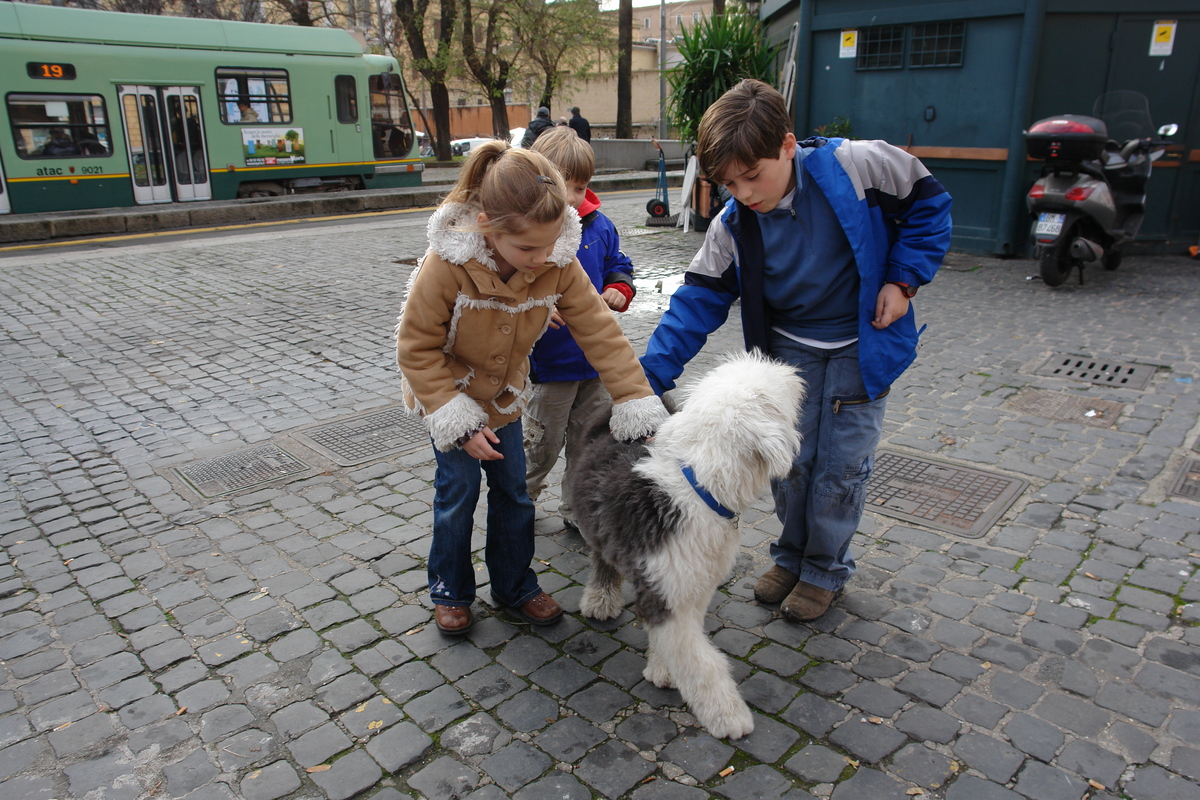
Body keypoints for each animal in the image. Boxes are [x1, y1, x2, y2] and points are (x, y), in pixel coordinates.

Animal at [571, 350, 806, 738]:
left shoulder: (694, 585)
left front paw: (662, 669)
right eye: (766, 395)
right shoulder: (668, 593)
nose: (794, 374)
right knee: (602, 558)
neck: (699, 489)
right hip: (596, 523)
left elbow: (680, 645)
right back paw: (600, 599)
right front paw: (729, 717)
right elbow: (700, 661)